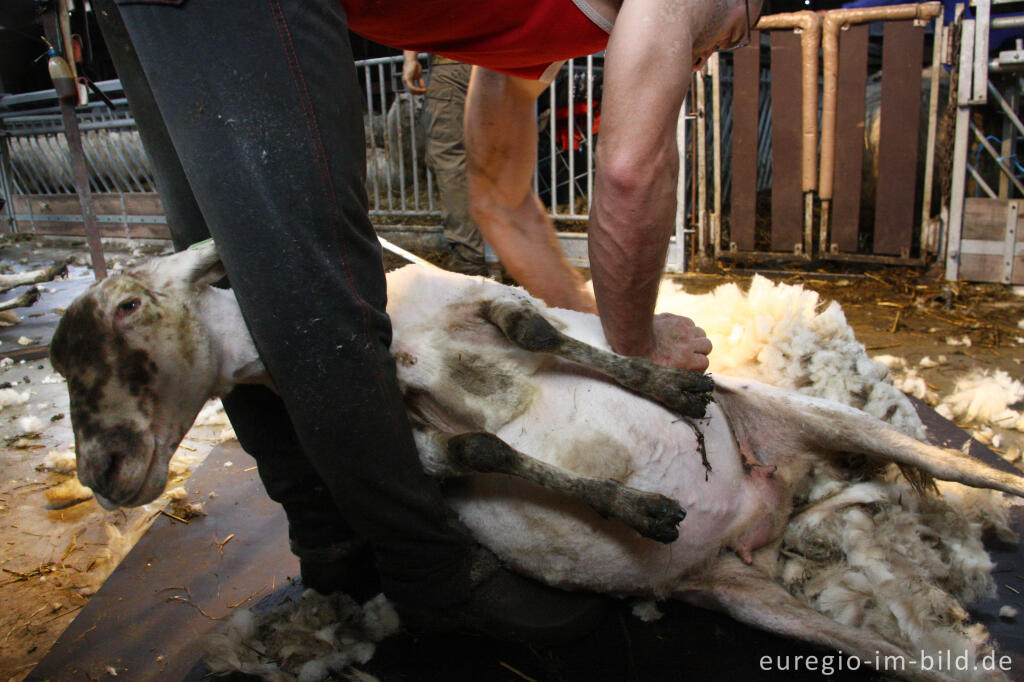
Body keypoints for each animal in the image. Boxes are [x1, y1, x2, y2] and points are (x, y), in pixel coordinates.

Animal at [51, 241, 1024, 675]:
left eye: (130, 306)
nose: (103, 475)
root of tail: (767, 510)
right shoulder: (396, 439)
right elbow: (477, 444)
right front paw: (640, 510)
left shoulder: (479, 300)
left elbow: (539, 332)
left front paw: (671, 391)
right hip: (752, 599)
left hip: (820, 416)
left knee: (972, 471)